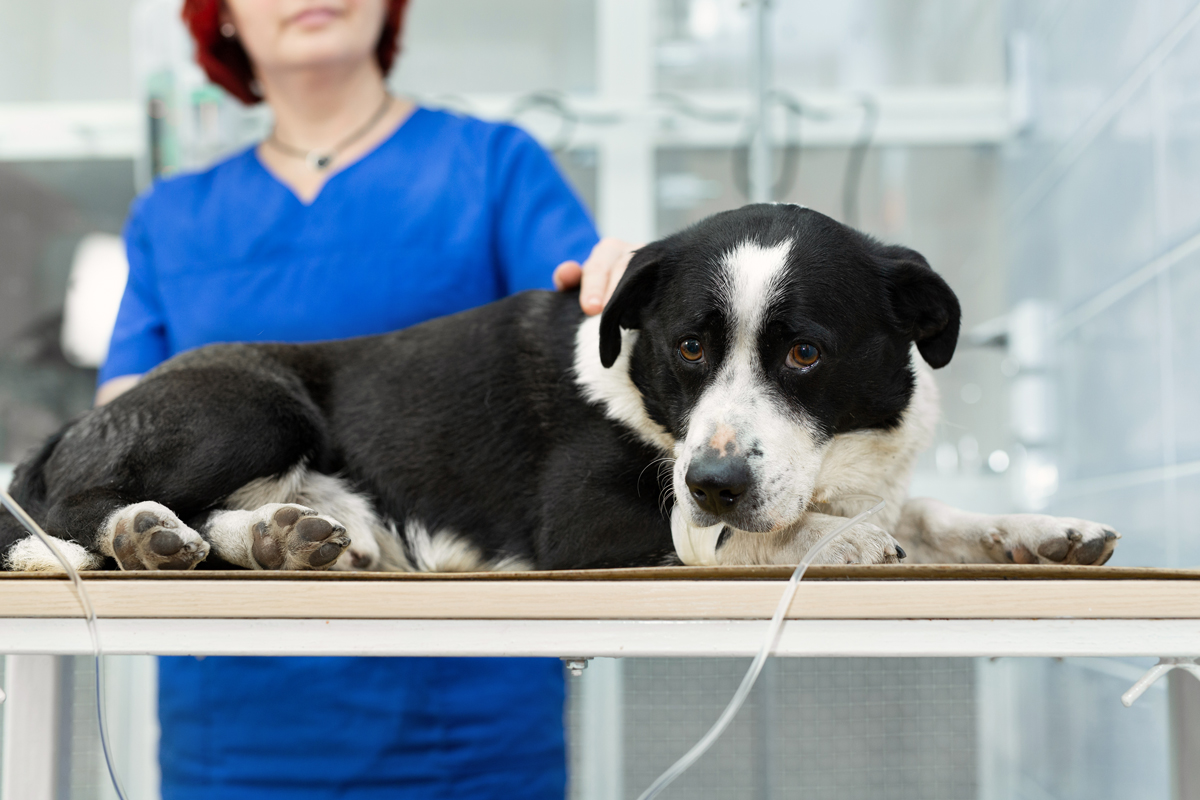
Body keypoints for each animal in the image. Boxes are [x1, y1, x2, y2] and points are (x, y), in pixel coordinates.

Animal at [4, 203, 1118, 573]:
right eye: (687, 347)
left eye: (805, 355)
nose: (714, 479)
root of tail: (69, 428)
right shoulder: (594, 525)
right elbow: (741, 537)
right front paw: (834, 542)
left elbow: (920, 508)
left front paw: (1034, 530)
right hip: (254, 400)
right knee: (63, 513)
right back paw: (137, 532)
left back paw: (282, 538)